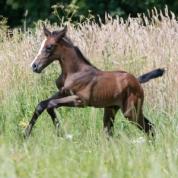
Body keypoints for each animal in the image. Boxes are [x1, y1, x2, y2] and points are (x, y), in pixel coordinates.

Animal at [24, 25, 165, 138]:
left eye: (49, 47)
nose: (34, 66)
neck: (74, 72)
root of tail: (137, 80)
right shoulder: (63, 93)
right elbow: (42, 105)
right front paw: (26, 134)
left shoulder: (80, 100)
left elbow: (51, 104)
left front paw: (62, 134)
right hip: (111, 109)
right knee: (111, 132)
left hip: (131, 111)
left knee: (149, 128)